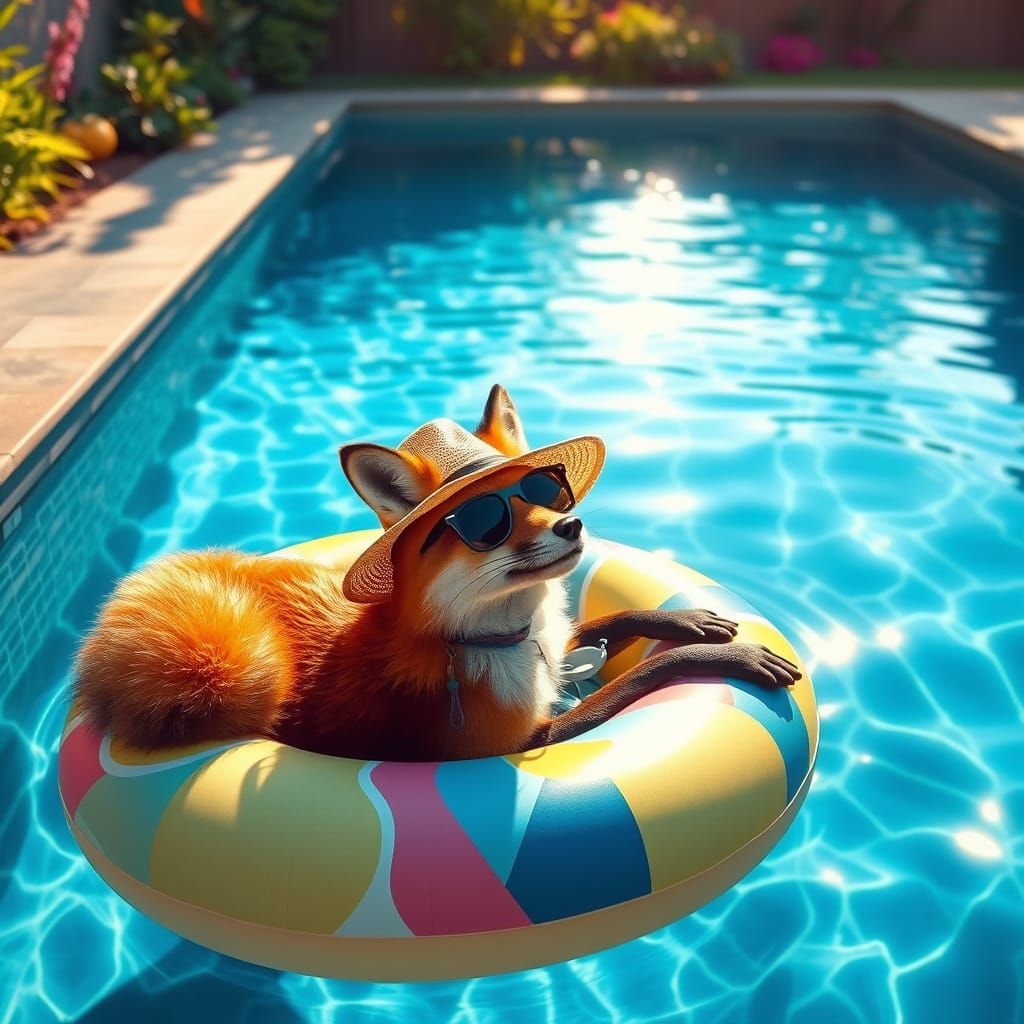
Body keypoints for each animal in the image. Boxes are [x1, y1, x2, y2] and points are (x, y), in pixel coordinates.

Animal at [73, 385, 801, 761]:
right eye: (486, 521)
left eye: (547, 488)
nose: (571, 527)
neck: (499, 640)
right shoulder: (524, 739)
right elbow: (648, 674)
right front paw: (732, 657)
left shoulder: (558, 643)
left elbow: (620, 617)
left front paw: (691, 620)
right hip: (237, 668)